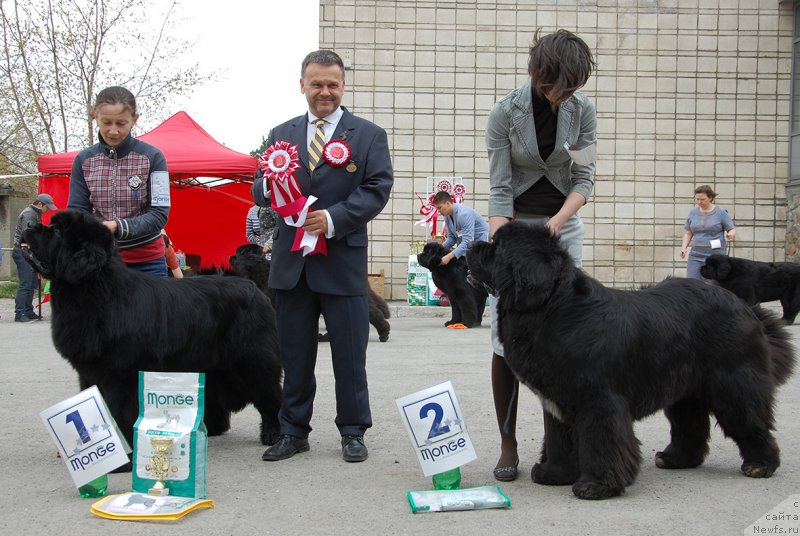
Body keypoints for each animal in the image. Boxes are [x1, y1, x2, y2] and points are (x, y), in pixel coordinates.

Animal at [21, 211, 284, 450]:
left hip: (252, 361)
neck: (98, 290)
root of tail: (253, 286)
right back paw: (210, 429)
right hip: (211, 363)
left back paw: (273, 435)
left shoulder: (120, 375)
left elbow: (119, 411)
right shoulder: (89, 373)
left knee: (270, 397)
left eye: (56, 231)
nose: (30, 225)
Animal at [466, 221, 796, 498]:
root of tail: (744, 306)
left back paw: (760, 465)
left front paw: (597, 485)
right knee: (690, 423)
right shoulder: (558, 401)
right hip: (685, 389)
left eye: (496, 246)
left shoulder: (599, 401)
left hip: (733, 384)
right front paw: (553, 473)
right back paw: (675, 459)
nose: (470, 246)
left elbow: (603, 441)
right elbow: (559, 440)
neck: (553, 309)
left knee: (750, 420)